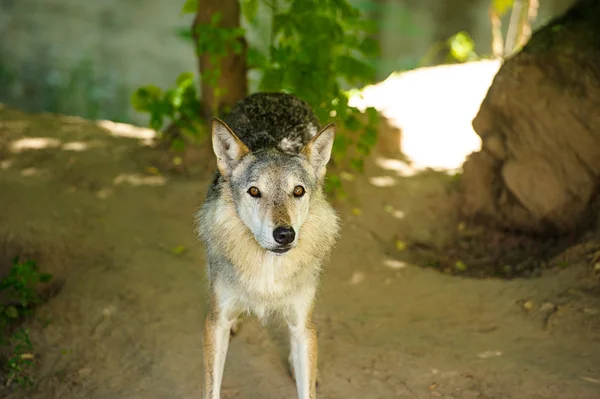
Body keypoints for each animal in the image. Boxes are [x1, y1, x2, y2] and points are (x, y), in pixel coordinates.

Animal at [195, 91, 340, 399]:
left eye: (298, 190)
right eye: (254, 191)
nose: (284, 234)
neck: (268, 268)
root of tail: (274, 93)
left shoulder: (302, 324)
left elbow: (306, 385)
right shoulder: (214, 324)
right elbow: (212, 388)